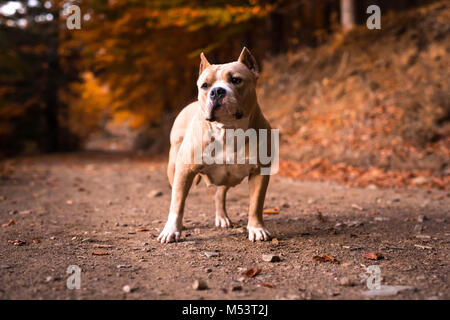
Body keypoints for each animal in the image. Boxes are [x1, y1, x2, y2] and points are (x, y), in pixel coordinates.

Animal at [158, 47, 274, 242]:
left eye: (236, 80)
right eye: (205, 85)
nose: (217, 91)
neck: (228, 129)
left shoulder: (260, 171)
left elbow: (256, 204)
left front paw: (257, 228)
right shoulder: (184, 170)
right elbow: (177, 202)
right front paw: (171, 230)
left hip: (227, 176)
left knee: (220, 194)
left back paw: (222, 217)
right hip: (173, 167)